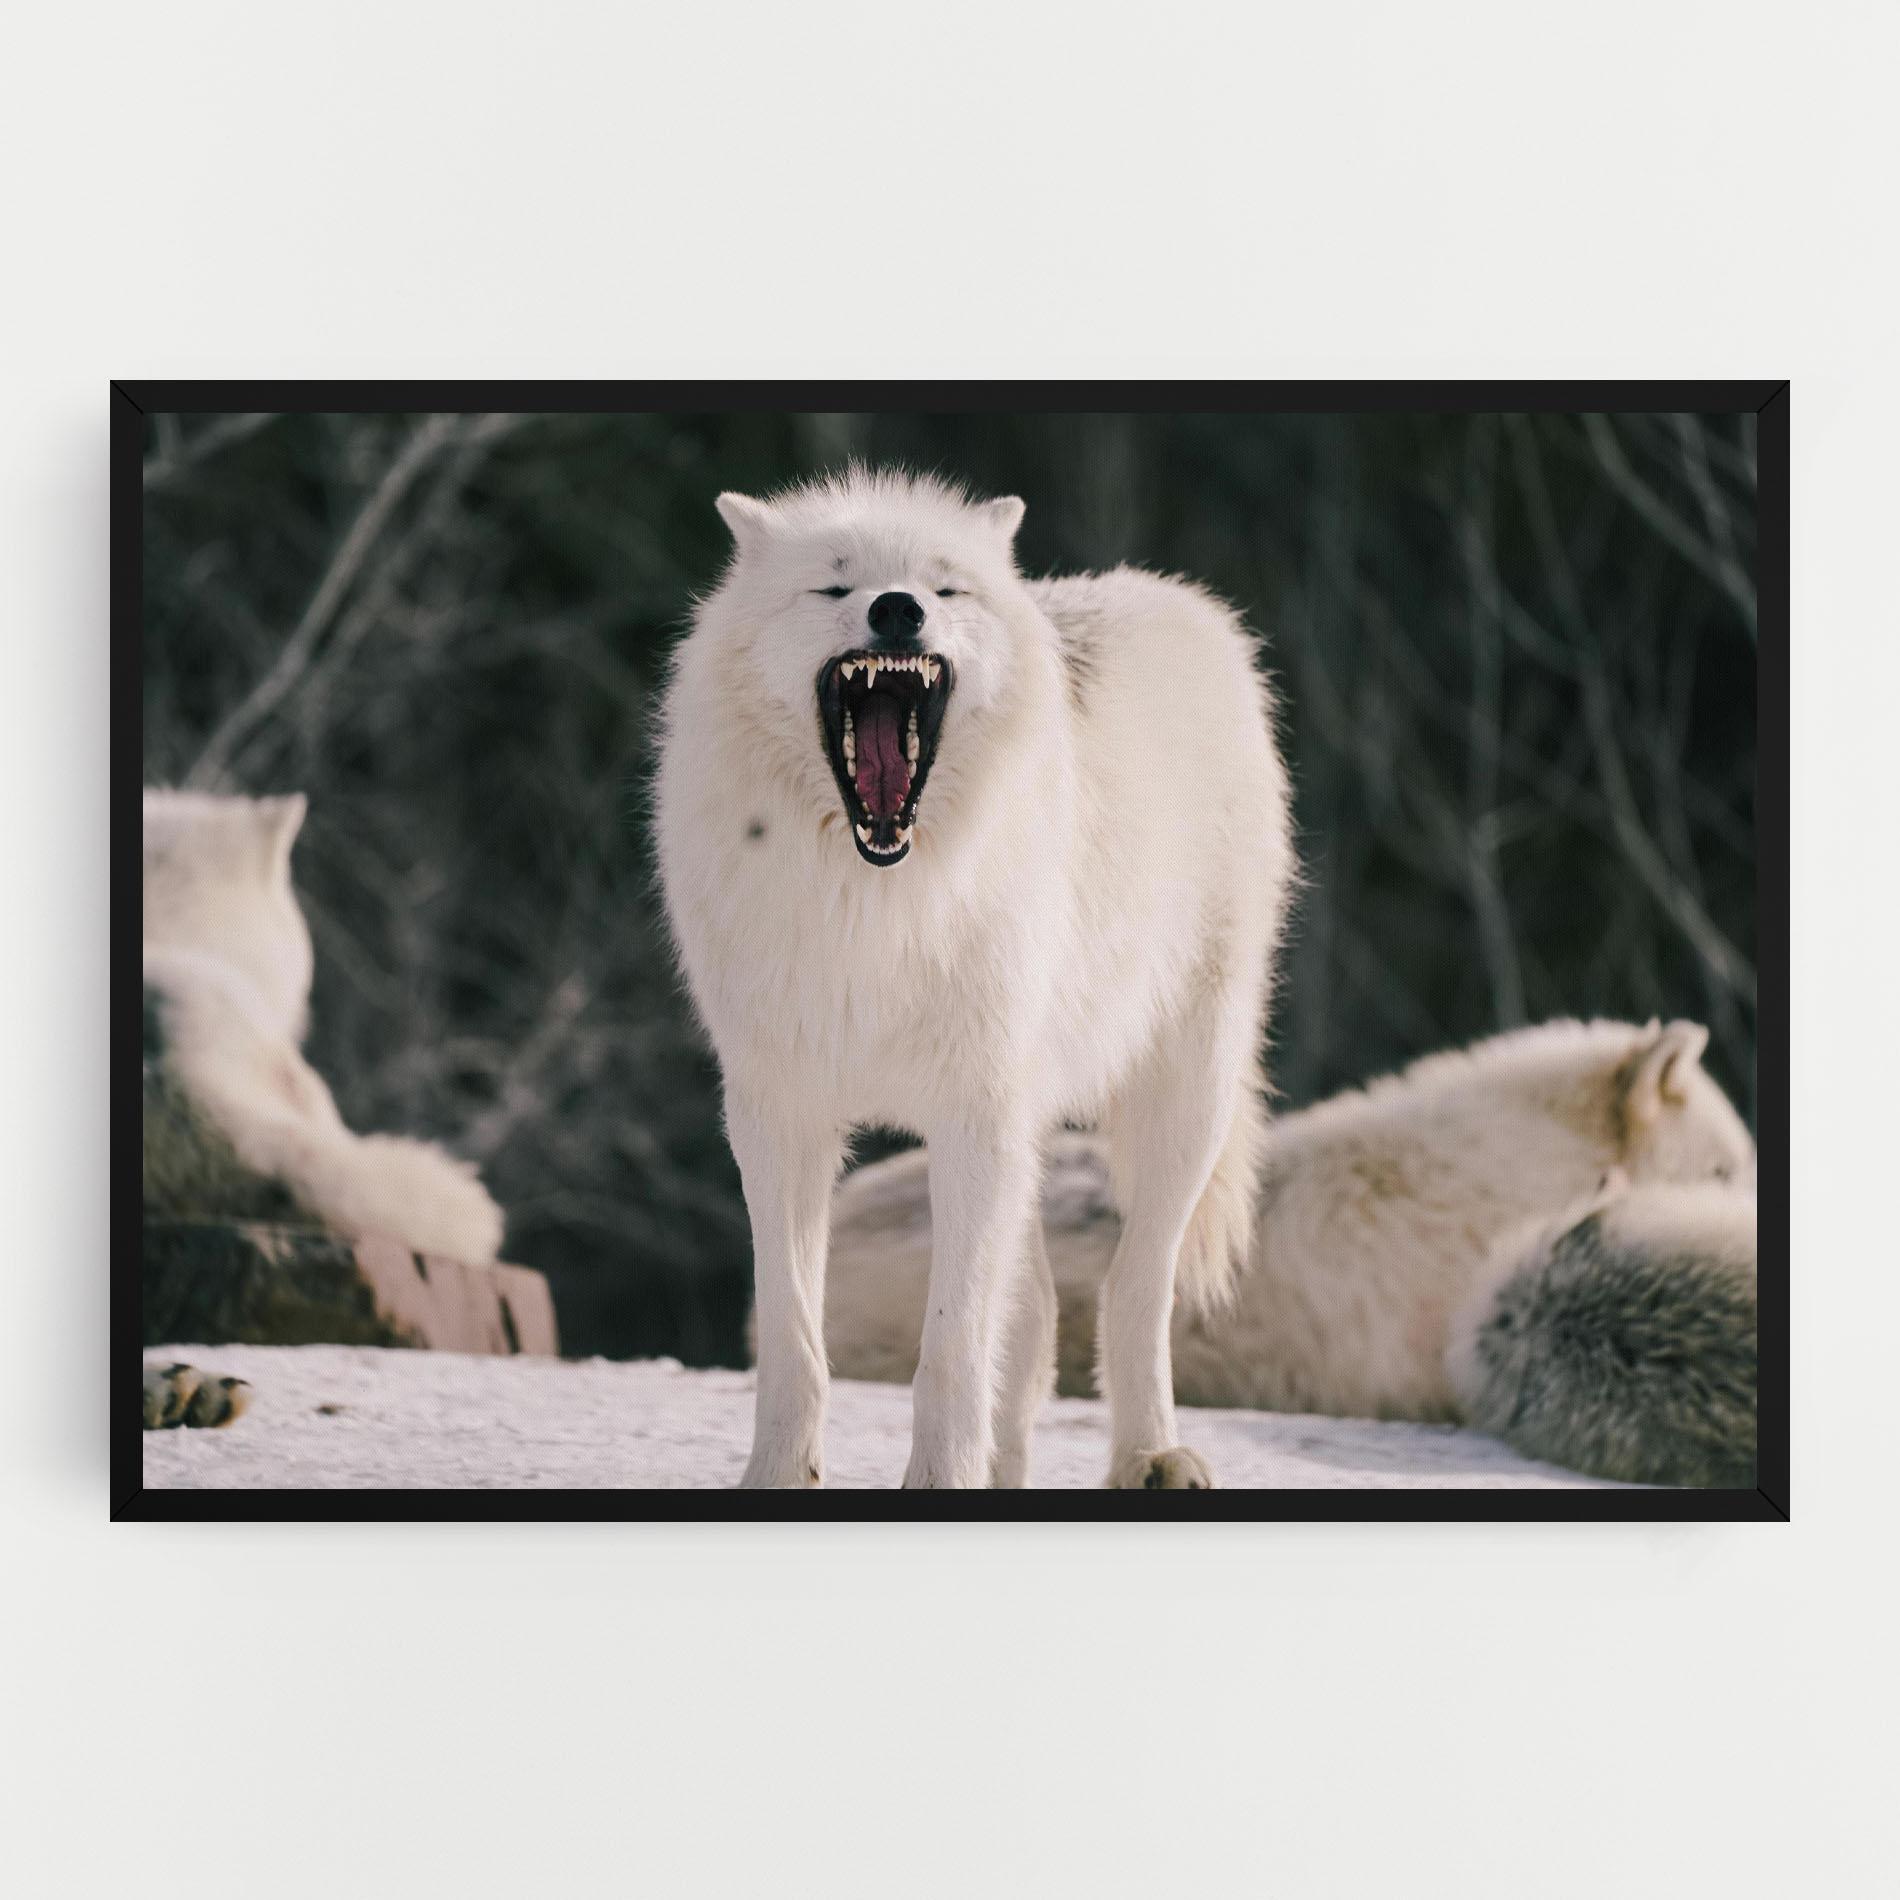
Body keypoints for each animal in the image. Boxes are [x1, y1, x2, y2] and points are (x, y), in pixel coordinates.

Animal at [654, 470, 1293, 1488]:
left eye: (944, 587)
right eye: (835, 586)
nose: (897, 609)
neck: (875, 903)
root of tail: (1179, 601)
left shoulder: (973, 1116)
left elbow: (951, 1348)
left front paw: (939, 1479)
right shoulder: (778, 1115)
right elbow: (796, 1338)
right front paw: (778, 1476)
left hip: (1181, 1098)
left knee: (1133, 1286)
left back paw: (1151, 1453)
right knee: (1033, 1324)